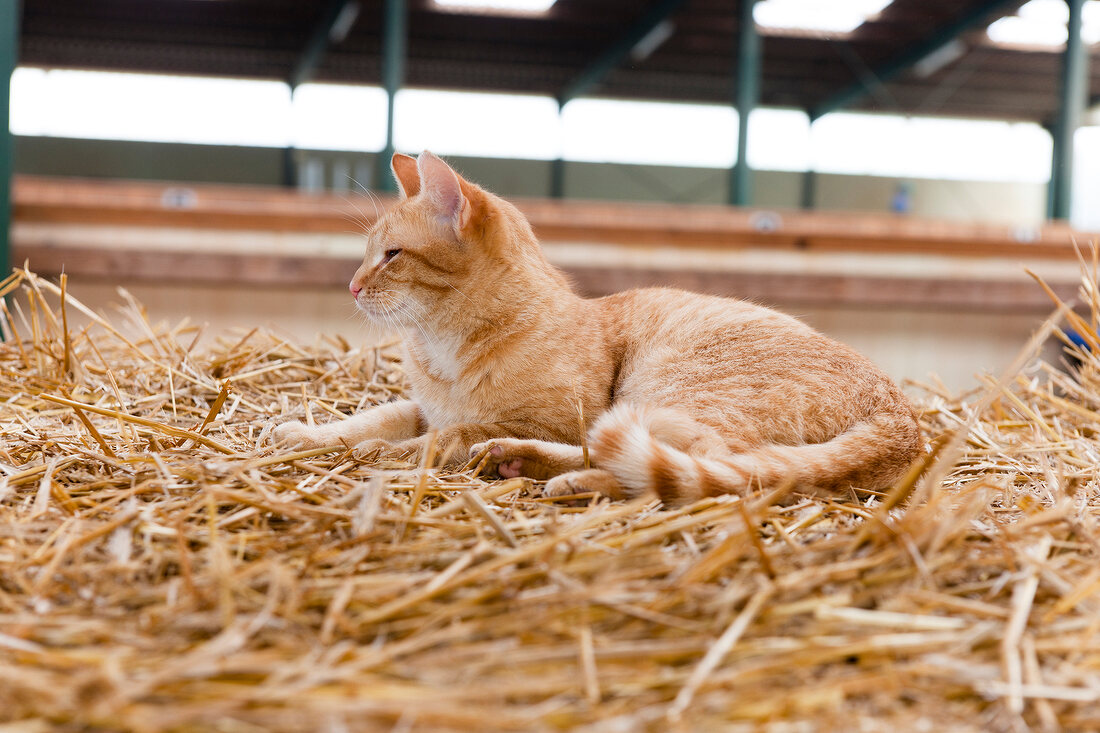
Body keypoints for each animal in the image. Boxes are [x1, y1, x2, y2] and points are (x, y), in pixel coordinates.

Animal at [272, 148, 919, 501]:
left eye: (391, 256)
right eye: (367, 254)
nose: (352, 286)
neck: (443, 349)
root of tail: (904, 414)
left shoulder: (551, 416)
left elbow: (435, 438)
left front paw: (385, 455)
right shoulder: (421, 406)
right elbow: (373, 420)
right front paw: (306, 434)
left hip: (668, 394)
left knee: (708, 468)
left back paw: (554, 473)